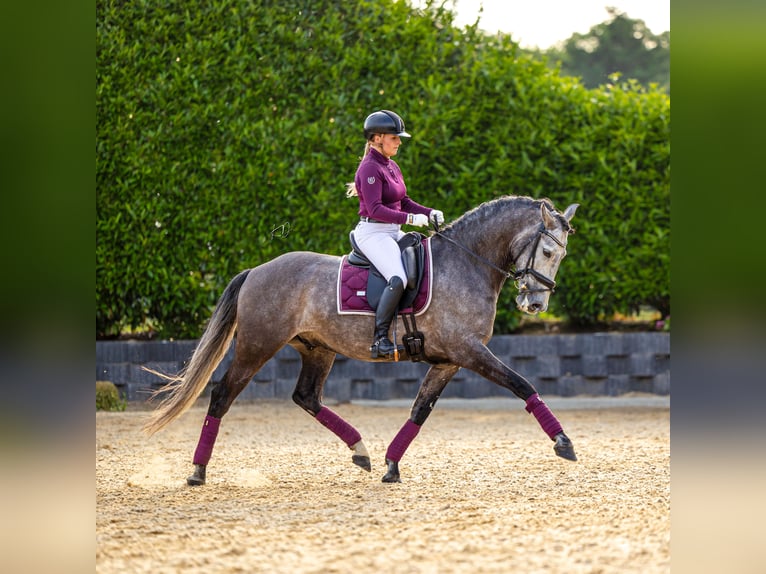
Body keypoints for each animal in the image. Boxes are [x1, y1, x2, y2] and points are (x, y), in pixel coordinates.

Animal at [144, 197, 580, 486]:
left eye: (561, 256)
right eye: (546, 250)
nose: (535, 303)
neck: (467, 263)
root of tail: (256, 270)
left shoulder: (449, 360)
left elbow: (420, 410)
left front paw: (391, 465)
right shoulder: (468, 351)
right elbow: (522, 384)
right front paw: (563, 442)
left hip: (317, 349)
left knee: (306, 397)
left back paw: (361, 451)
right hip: (257, 347)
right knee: (222, 396)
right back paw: (198, 471)